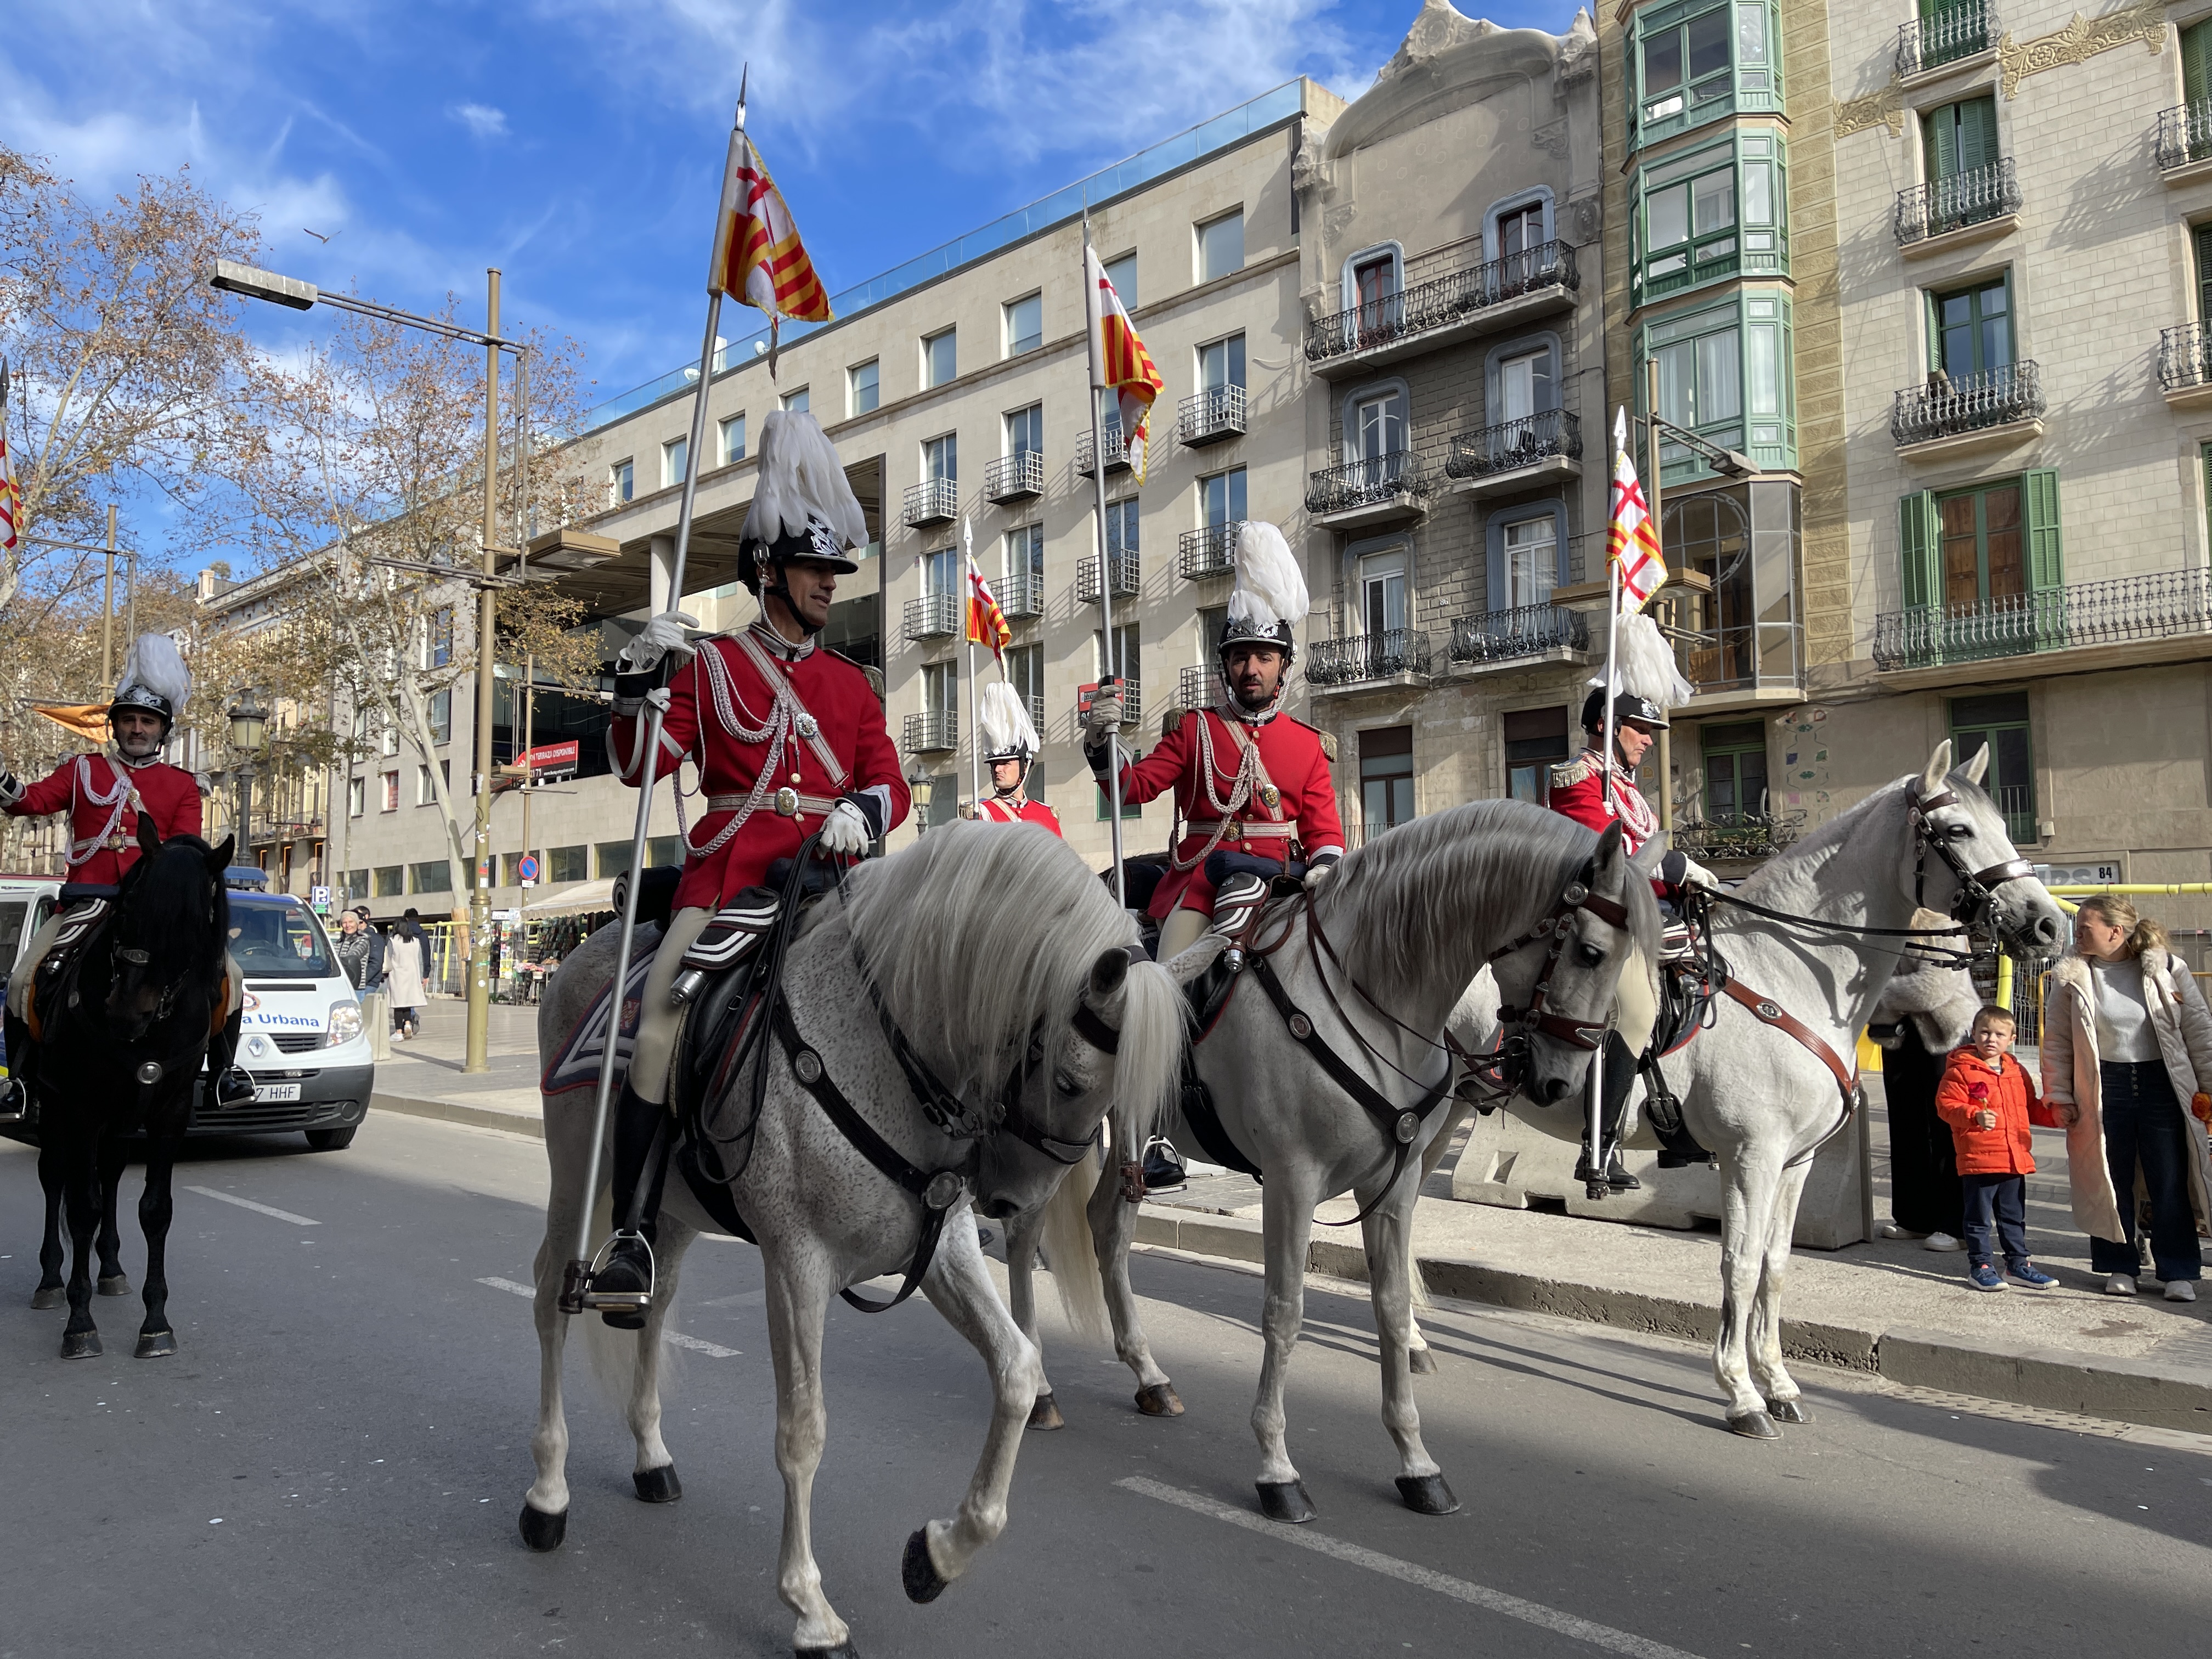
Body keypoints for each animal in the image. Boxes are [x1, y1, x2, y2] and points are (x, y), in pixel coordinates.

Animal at [29, 822, 233, 1362]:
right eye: (130, 906)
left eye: (192, 921)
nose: (126, 1011)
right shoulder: (81, 1108)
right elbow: (82, 1207)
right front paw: (79, 1324)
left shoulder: (170, 1114)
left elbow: (154, 1210)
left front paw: (155, 1323)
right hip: (54, 1105)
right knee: (55, 1177)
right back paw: (51, 1280)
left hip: (121, 1120)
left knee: (112, 1174)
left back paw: (112, 1269)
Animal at [515, 827, 1194, 1654]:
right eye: (1069, 1082)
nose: (1011, 1199)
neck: (889, 1046)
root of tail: (585, 951)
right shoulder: (797, 1264)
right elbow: (803, 1431)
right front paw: (810, 1608)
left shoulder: (942, 1249)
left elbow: (1017, 1369)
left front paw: (938, 1555)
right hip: (574, 1176)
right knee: (551, 1299)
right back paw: (548, 1495)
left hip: (670, 1213)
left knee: (655, 1298)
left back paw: (651, 1458)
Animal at [1004, 800, 1663, 1531]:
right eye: (1591, 952)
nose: (1560, 1081)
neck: (1375, 999)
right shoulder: (1292, 1181)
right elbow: (1284, 1311)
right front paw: (1276, 1468)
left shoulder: (1394, 1186)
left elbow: (1390, 1304)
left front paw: (1416, 1461)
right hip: (1054, 1126)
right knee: (1024, 1231)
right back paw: (1037, 1389)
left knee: (1108, 1226)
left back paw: (1150, 1377)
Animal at [1451, 752, 2070, 1442]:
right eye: (1959, 830)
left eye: (2002, 825)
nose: (2049, 923)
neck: (1785, 974)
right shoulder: (1751, 1155)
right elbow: (1739, 1264)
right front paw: (1742, 1394)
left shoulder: (1794, 1160)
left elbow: (1774, 1265)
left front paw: (1779, 1385)